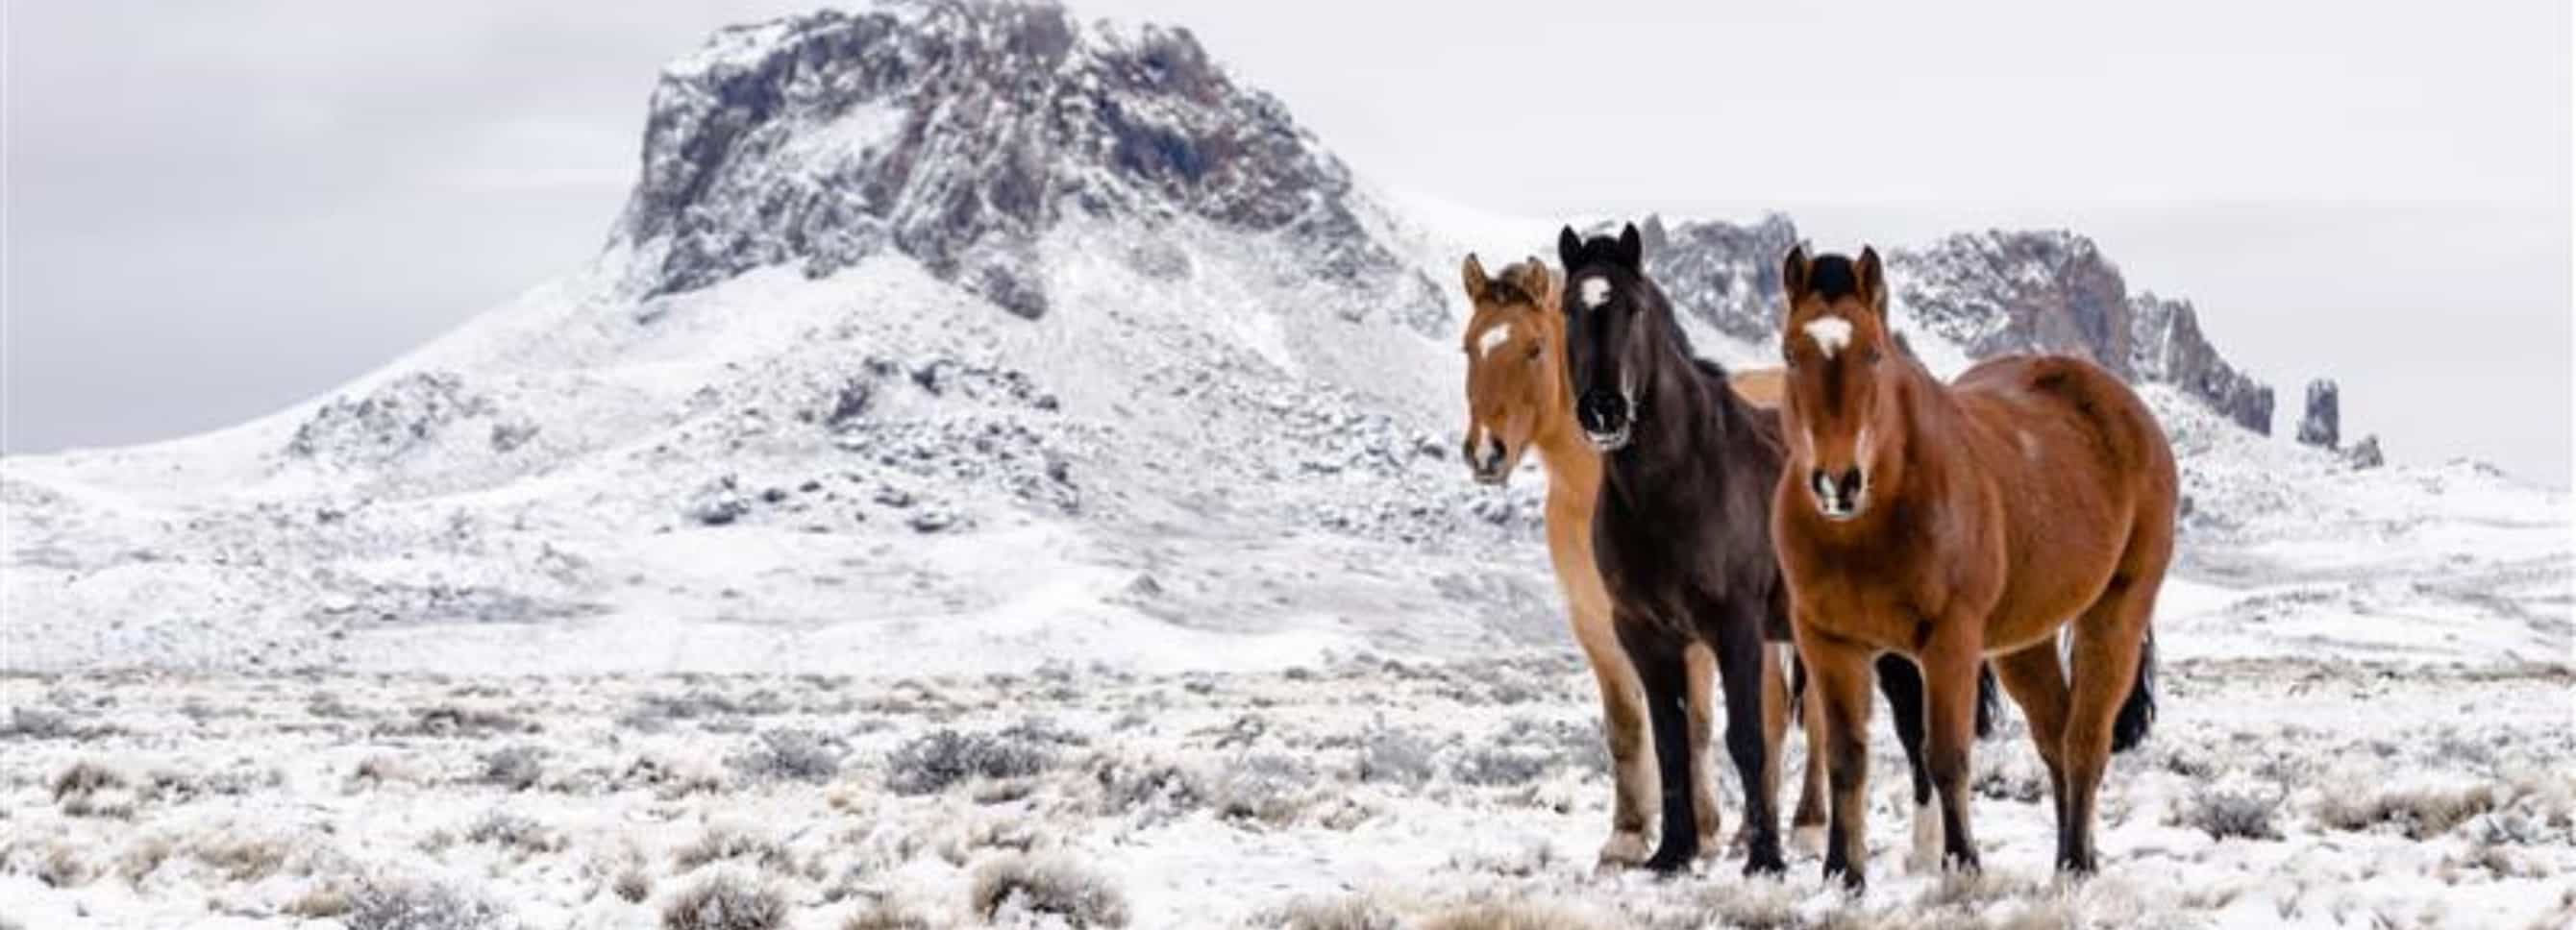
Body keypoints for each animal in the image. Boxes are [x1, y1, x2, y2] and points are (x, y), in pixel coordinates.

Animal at [1770, 245, 2172, 890]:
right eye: (1789, 353)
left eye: (1874, 352)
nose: (1837, 483)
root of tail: (2127, 409)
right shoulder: (1829, 642)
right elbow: (1846, 759)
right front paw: (1842, 875)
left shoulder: (1949, 642)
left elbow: (1946, 756)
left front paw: (1961, 865)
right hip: (2022, 645)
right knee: (2054, 737)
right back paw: (2070, 856)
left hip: (2114, 615)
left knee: (2085, 741)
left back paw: (2075, 864)